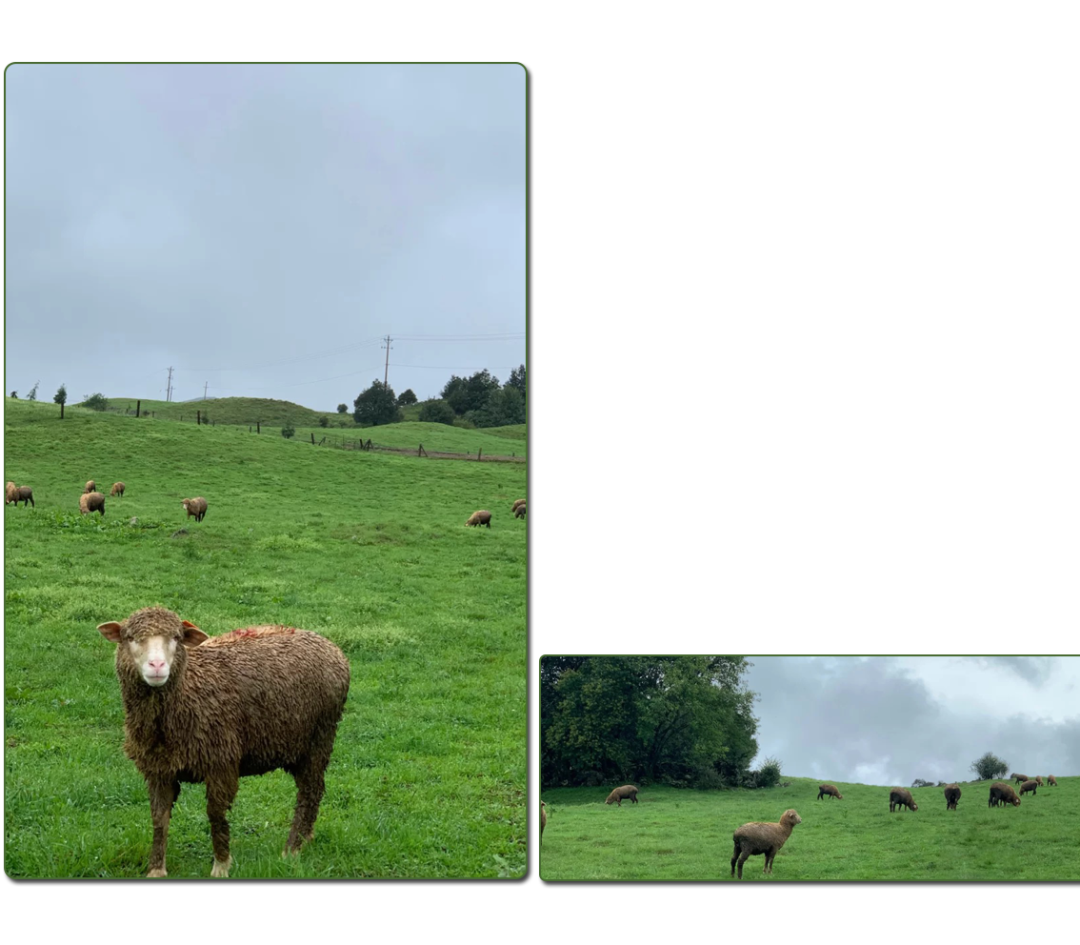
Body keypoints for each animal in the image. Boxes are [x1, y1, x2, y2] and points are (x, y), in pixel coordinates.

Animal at [97, 604, 349, 881]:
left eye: (176, 637)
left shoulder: (221, 762)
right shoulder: (159, 770)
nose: (157, 665)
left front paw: (221, 865)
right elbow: (159, 818)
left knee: (310, 792)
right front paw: (156, 869)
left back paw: (291, 849)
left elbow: (216, 815)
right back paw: (306, 838)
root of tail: (331, 646)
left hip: (320, 737)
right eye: (130, 637)